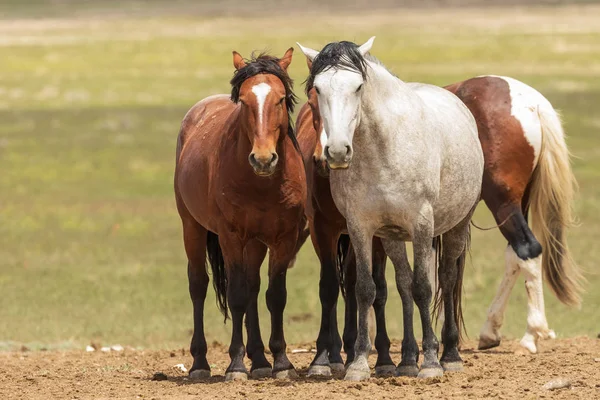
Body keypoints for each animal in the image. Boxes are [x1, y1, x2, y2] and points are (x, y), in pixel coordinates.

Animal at [172, 48, 304, 380]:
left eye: (281, 99)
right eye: (244, 100)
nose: (263, 159)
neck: (261, 184)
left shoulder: (283, 238)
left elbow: (275, 295)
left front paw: (281, 362)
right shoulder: (231, 237)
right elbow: (236, 295)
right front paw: (235, 365)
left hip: (255, 242)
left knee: (254, 286)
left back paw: (259, 360)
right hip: (192, 228)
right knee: (199, 285)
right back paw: (200, 363)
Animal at [298, 38, 486, 382]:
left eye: (358, 86)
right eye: (317, 89)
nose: (337, 152)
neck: (383, 149)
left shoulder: (422, 225)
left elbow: (425, 288)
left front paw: (431, 363)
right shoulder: (361, 227)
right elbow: (366, 289)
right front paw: (359, 364)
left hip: (456, 226)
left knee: (447, 278)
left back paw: (449, 355)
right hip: (391, 237)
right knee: (403, 283)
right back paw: (408, 359)